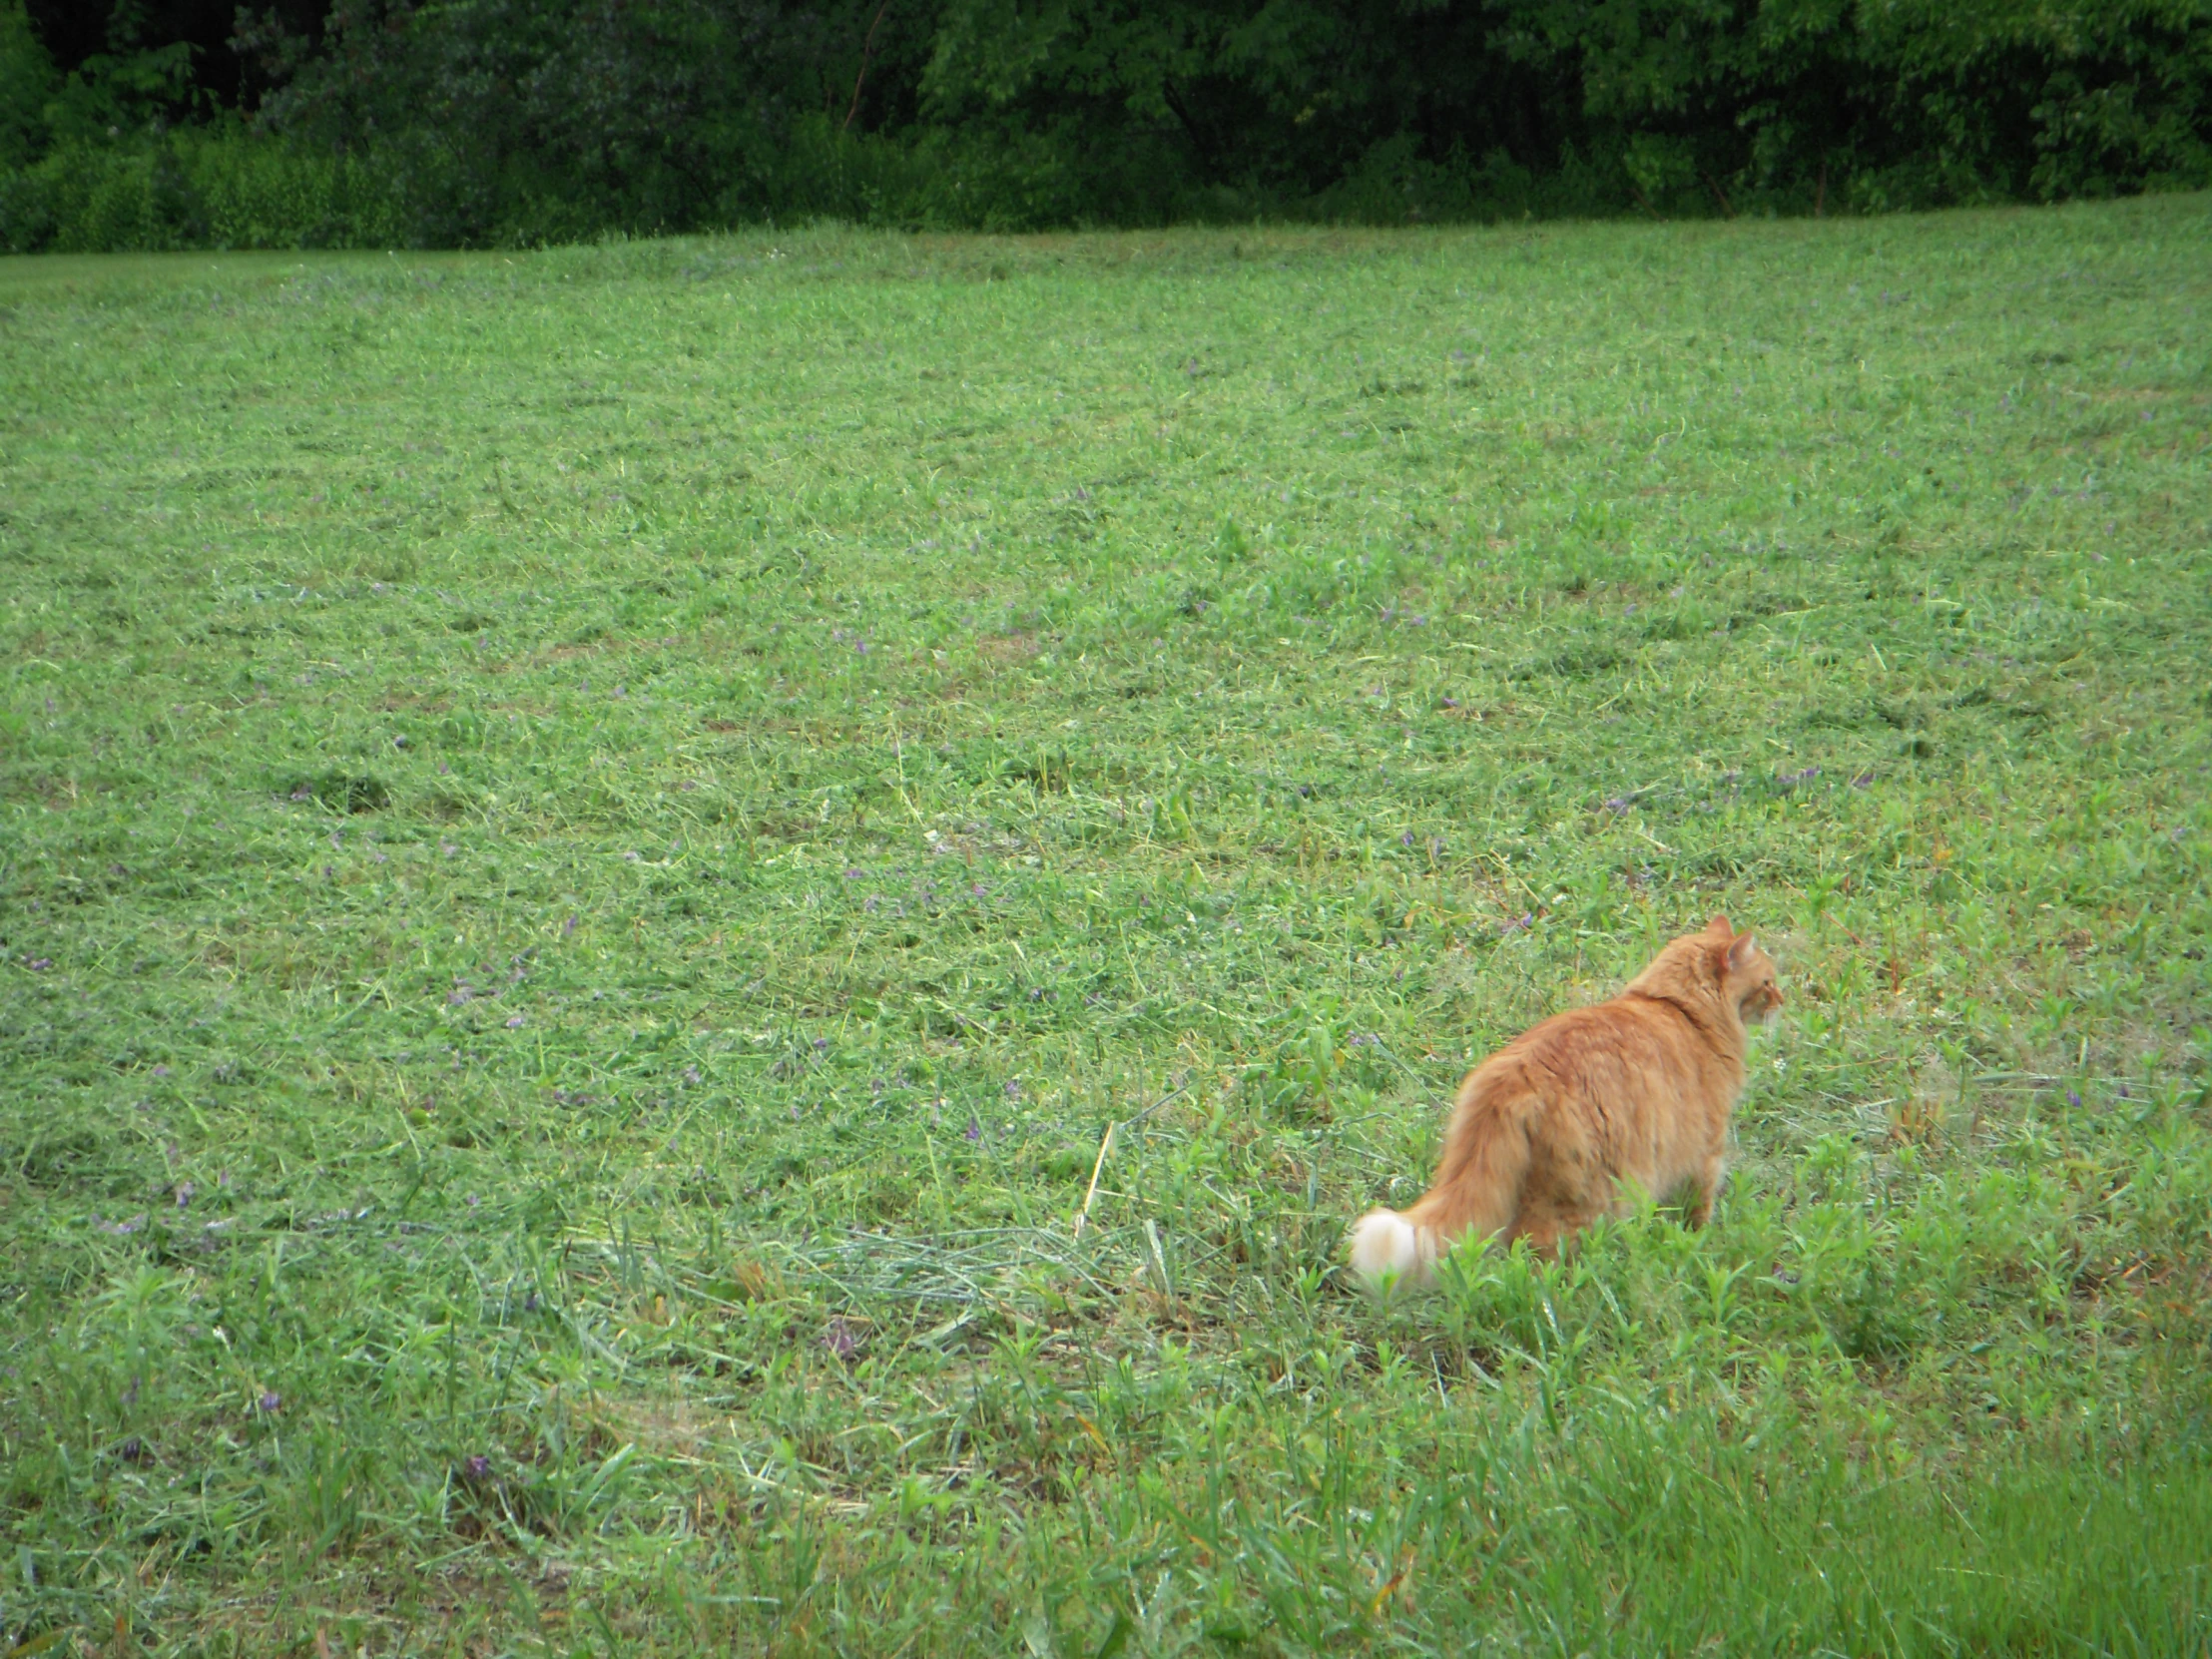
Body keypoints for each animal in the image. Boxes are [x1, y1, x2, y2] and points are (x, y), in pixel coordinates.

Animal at [1345, 915, 1778, 1292]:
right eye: (1768, 982)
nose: (1782, 1000)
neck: (1679, 1008)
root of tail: (1514, 1076)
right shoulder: (1706, 1152)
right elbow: (1698, 1213)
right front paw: (1698, 1244)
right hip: (1584, 1196)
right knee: (1539, 1254)